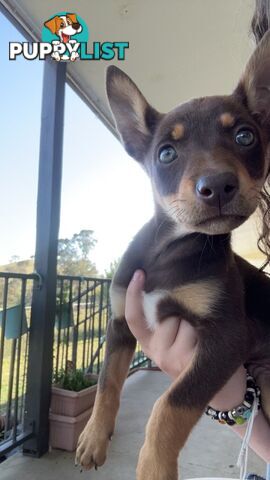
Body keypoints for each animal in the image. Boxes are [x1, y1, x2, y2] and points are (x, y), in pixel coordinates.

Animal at [75, 30, 270, 480]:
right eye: (166, 153)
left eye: (245, 136)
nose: (217, 186)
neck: (170, 248)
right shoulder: (119, 322)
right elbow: (107, 383)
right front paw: (93, 437)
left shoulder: (226, 336)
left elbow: (169, 406)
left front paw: (154, 467)